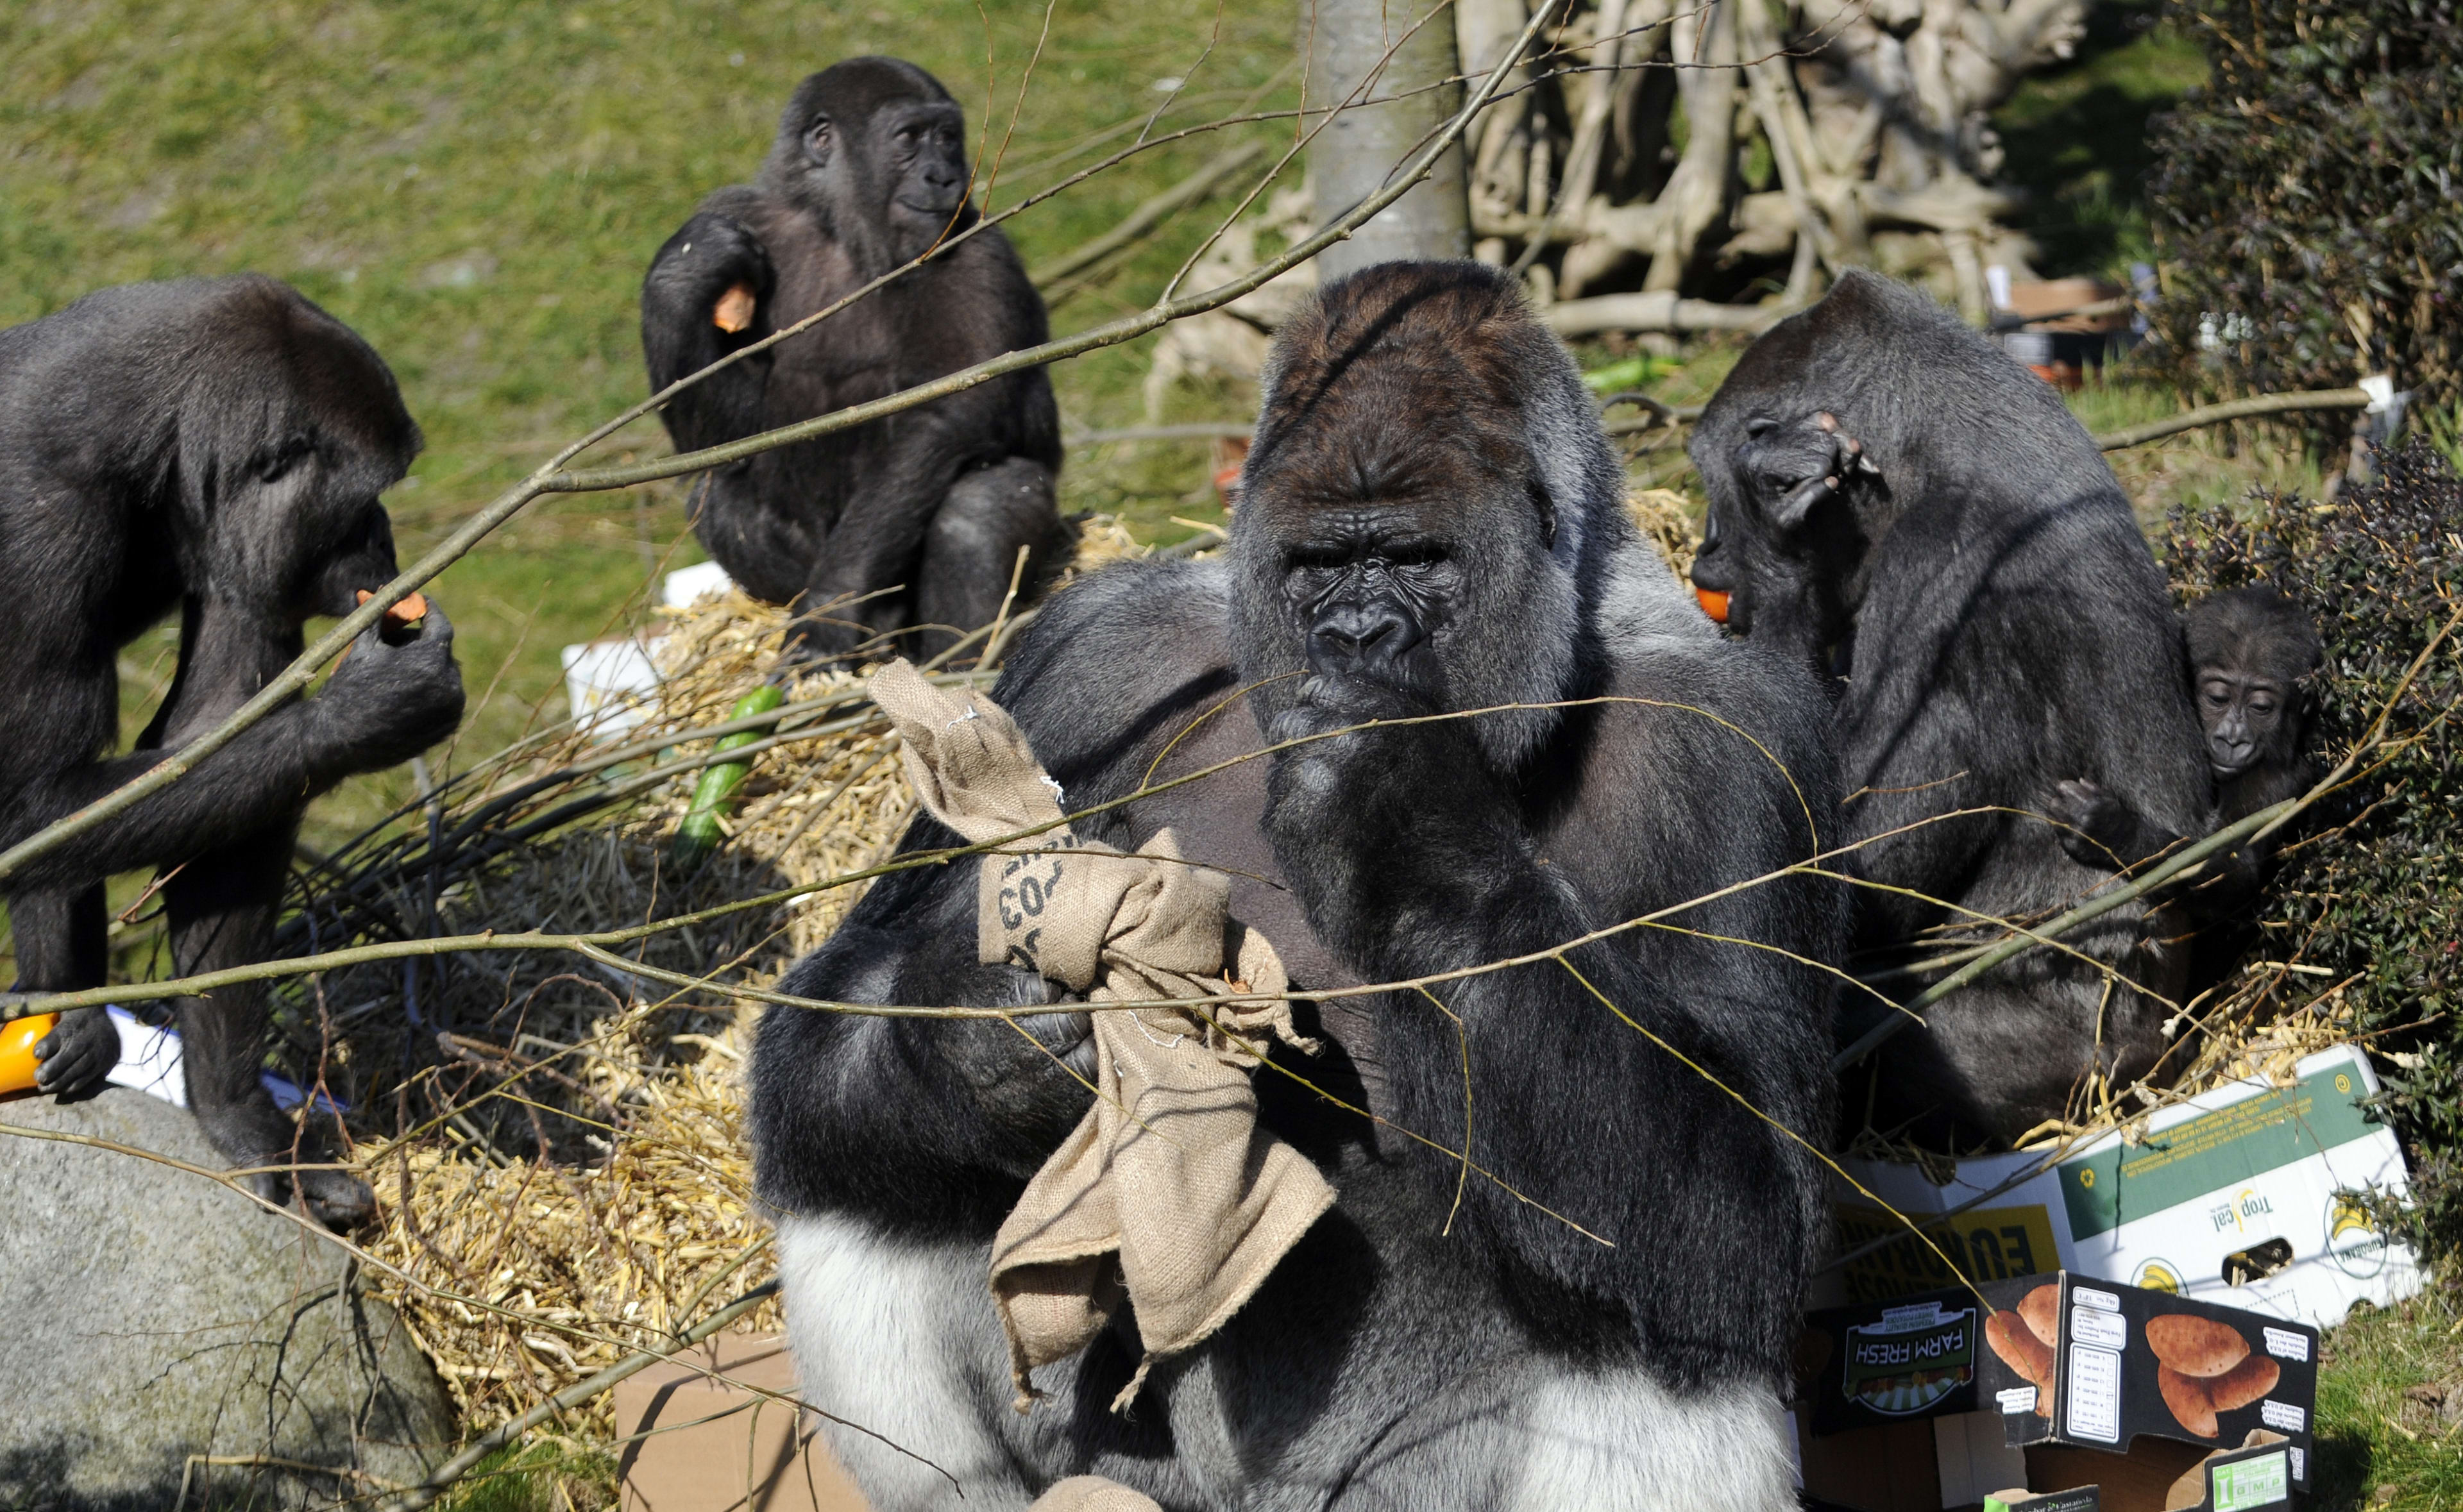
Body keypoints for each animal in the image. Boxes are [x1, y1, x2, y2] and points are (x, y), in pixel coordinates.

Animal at [640, 59, 1063, 664]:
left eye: (947, 138)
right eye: (909, 139)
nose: (942, 177)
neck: (838, 226)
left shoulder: (977, 250)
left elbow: (946, 414)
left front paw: (829, 608)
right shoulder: (742, 215)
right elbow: (725, 440)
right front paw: (682, 275)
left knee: (981, 504)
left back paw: (962, 668)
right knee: (714, 492)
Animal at [749, 263, 1852, 1512]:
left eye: (1417, 559)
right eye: (1321, 566)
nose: (1359, 634)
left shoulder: (1732, 741)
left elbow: (1753, 1213)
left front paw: (1396, 806)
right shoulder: (1093, 652)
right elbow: (833, 999)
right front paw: (992, 1040)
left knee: (1664, 1327)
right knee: (873, 1177)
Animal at [1694, 272, 2217, 1147]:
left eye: (1716, 492)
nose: (1701, 553)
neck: (1928, 451)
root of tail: (2170, 1055)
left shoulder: (1936, 563)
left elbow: (1837, 873)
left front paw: (1784, 536)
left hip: (2073, 1068)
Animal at [2049, 586, 2315, 916]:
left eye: (2261, 708)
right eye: (2218, 698)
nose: (2232, 739)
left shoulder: (2277, 782)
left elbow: (2230, 872)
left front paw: (2111, 829)